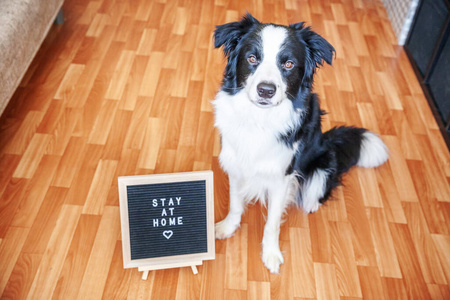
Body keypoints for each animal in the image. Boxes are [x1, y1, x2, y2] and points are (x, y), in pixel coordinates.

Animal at [213, 12, 388, 274]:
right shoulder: (235, 163)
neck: (259, 120)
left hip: (322, 162)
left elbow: (273, 222)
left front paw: (271, 254)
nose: (266, 91)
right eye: (252, 58)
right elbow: (235, 203)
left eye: (288, 64)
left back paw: (312, 202)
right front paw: (227, 227)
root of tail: (328, 142)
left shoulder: (282, 176)